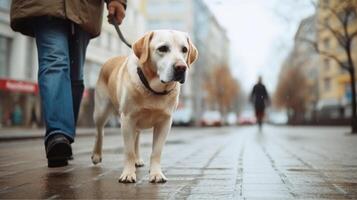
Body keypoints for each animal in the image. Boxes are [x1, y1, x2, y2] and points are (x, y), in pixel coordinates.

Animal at [90, 30, 197, 183]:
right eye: (163, 48)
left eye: (184, 50)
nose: (181, 67)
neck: (154, 90)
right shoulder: (127, 119)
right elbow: (128, 151)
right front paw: (128, 174)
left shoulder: (165, 122)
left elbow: (156, 151)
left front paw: (156, 174)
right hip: (101, 110)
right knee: (99, 132)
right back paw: (97, 155)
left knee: (137, 136)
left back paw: (137, 159)